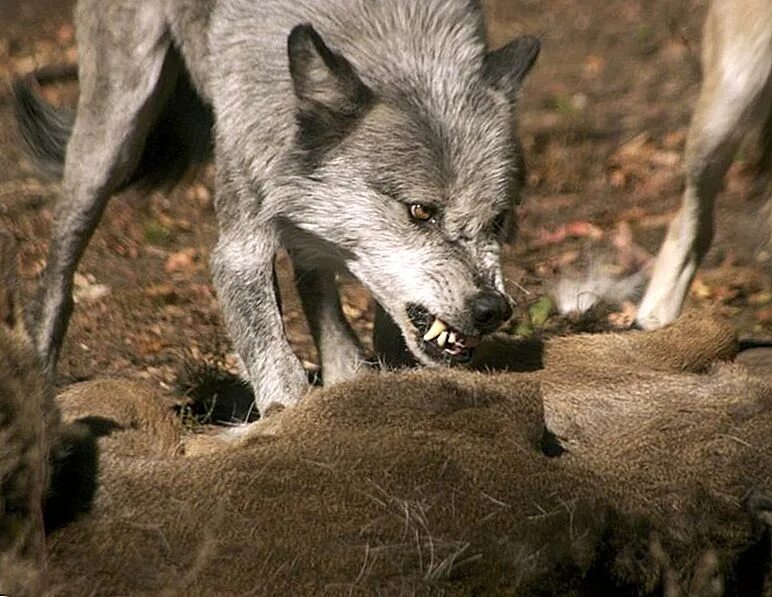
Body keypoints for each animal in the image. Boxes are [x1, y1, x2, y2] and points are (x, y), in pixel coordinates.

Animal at [15, 0, 540, 414]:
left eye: (498, 220)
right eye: (420, 212)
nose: (492, 309)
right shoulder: (239, 248)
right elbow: (277, 368)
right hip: (114, 134)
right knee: (57, 281)